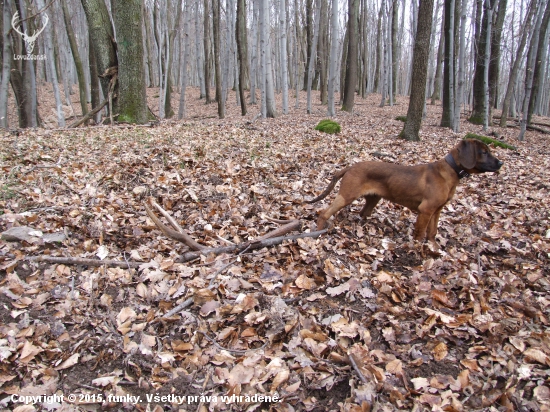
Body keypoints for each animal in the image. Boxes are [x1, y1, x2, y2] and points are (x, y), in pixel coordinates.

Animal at [306, 139, 504, 241]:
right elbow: (420, 233)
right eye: (484, 152)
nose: (501, 163)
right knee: (324, 213)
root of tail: (350, 167)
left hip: (373, 199)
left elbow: (432, 233)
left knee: (363, 213)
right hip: (346, 195)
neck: (450, 171)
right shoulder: (426, 210)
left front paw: (433, 249)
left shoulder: (437, 210)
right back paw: (318, 232)